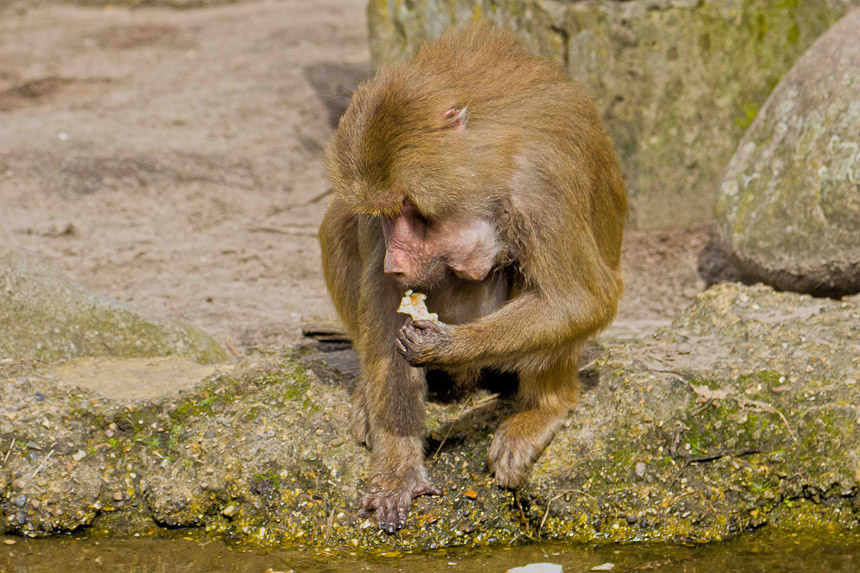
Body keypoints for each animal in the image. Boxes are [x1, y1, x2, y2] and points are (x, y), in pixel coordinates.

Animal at [319, 23, 626, 533]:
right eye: (387, 213)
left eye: (408, 207)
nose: (394, 262)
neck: (479, 172)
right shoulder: (367, 211)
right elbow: (384, 315)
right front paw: (398, 467)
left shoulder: (538, 185)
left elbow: (580, 299)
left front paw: (446, 344)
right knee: (336, 224)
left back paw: (544, 407)